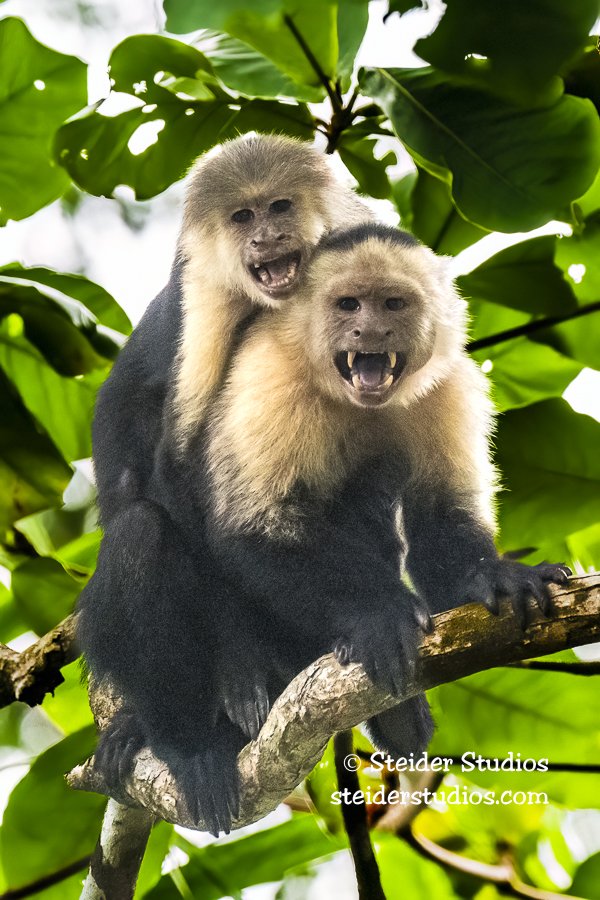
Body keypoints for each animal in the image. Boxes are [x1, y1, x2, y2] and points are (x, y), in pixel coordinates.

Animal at [78, 134, 374, 835]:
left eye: (279, 207)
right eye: (244, 217)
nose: (267, 236)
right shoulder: (202, 304)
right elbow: (174, 481)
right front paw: (240, 666)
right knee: (139, 528)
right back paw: (179, 740)